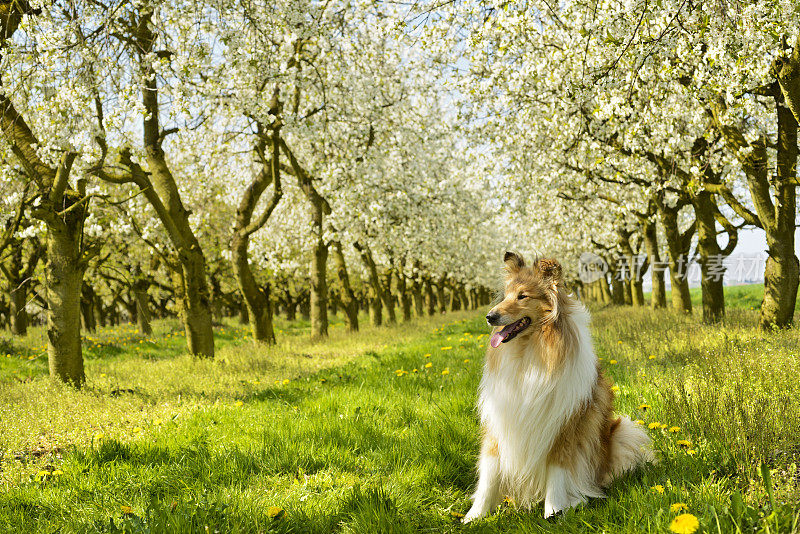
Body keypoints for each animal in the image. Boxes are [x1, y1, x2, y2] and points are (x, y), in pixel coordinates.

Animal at [462, 254, 648, 524]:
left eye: (522, 296)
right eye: (505, 296)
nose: (490, 317)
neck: (531, 353)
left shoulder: (564, 427)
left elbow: (557, 471)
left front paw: (554, 510)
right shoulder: (500, 421)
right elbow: (489, 472)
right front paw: (474, 515)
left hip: (623, 430)